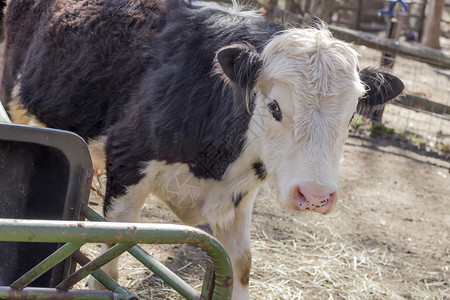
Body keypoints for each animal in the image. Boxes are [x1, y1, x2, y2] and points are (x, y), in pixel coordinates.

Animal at [1, 0, 402, 298]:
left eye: (352, 116)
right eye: (275, 107)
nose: (316, 196)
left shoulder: (239, 195)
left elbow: (241, 263)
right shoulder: (128, 159)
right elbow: (113, 254)